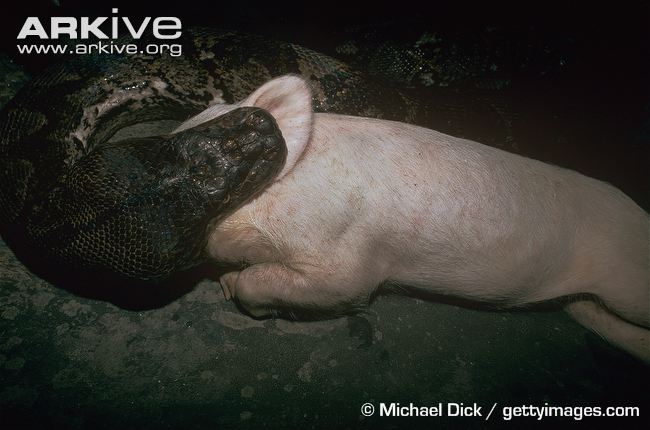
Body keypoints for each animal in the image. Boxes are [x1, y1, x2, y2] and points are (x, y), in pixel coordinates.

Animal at [178, 76, 650, 363]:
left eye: (199, 165)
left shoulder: (347, 261)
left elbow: (337, 286)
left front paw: (233, 288)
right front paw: (224, 283)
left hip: (625, 279)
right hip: (582, 303)